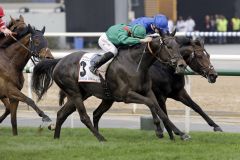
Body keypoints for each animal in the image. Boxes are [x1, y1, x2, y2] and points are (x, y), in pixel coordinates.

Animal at [31, 31, 190, 141]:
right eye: (168, 46)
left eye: (178, 46)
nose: (182, 65)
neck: (135, 63)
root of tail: (60, 60)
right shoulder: (126, 95)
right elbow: (151, 104)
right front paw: (161, 130)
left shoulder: (147, 91)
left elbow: (158, 108)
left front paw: (178, 133)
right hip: (74, 93)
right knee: (84, 117)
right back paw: (101, 138)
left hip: (87, 95)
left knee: (62, 113)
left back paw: (57, 138)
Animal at [91, 37, 223, 139]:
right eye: (200, 56)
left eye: (208, 55)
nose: (214, 75)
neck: (165, 69)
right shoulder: (160, 96)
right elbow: (163, 113)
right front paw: (173, 134)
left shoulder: (179, 92)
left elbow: (196, 106)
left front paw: (216, 126)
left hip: (109, 98)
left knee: (96, 114)